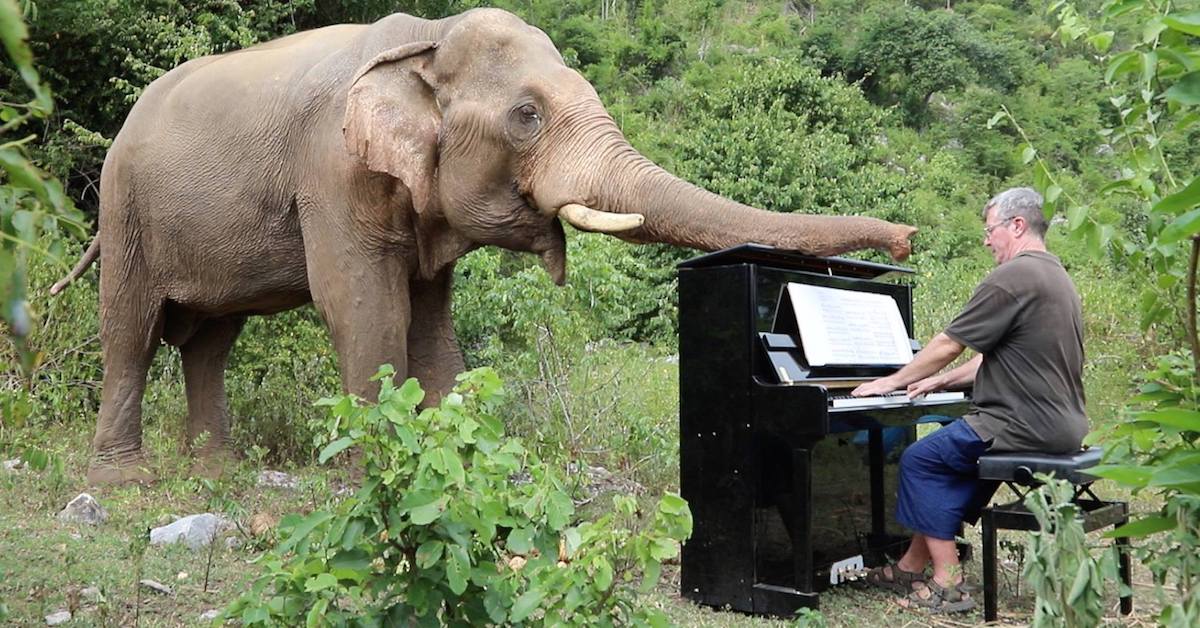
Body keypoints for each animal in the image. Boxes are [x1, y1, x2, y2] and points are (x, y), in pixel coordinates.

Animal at [51, 8, 918, 485]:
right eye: (527, 116)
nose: (907, 239)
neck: (425, 42)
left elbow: (431, 321)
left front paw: (453, 464)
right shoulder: (330, 169)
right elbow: (364, 306)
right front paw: (373, 478)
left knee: (211, 341)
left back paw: (215, 471)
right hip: (127, 209)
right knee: (131, 328)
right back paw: (124, 482)